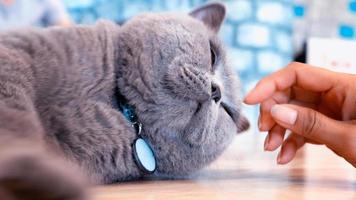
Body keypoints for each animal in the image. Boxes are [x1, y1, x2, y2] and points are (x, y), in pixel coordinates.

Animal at [0, 3, 248, 200]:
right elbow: (16, 114)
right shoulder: (17, 52)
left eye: (227, 111)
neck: (122, 105)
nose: (217, 92)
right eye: (213, 54)